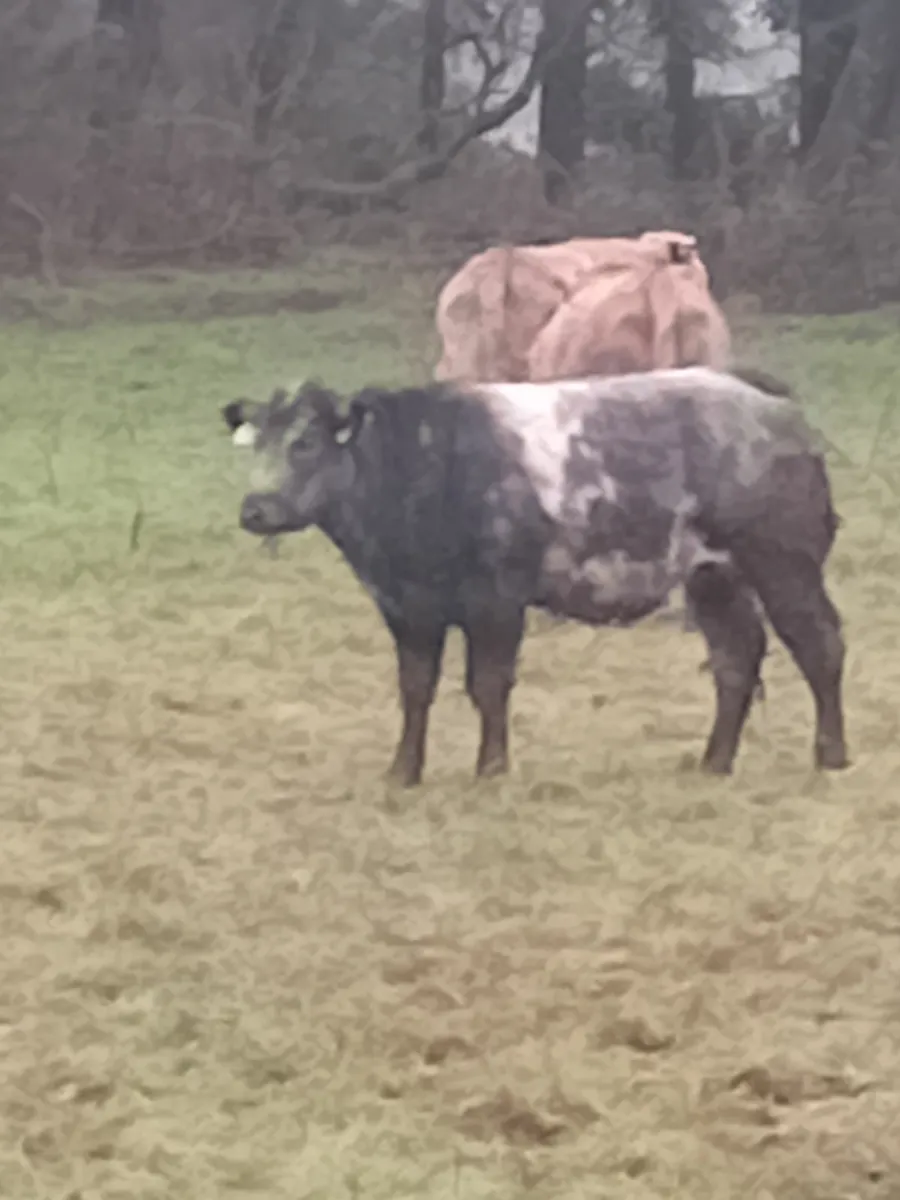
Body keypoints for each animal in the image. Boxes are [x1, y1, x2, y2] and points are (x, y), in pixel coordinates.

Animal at [221, 367, 848, 788]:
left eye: (304, 443)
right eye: (256, 446)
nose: (254, 510)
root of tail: (764, 399)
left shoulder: (496, 600)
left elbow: (488, 684)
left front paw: (492, 769)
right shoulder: (407, 608)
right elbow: (416, 688)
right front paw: (402, 772)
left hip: (784, 565)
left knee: (819, 645)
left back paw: (831, 756)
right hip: (713, 578)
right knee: (735, 658)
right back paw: (714, 762)